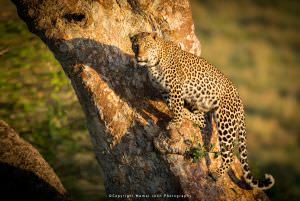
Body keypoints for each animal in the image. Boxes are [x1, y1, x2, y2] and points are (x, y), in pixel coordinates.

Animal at [130, 31, 276, 190]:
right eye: (136, 46)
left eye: (147, 46)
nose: (139, 57)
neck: (154, 63)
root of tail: (240, 102)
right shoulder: (165, 91)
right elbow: (173, 106)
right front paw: (178, 116)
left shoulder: (176, 87)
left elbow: (176, 107)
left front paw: (176, 122)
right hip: (197, 100)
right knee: (202, 120)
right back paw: (188, 113)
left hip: (226, 123)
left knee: (229, 154)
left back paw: (217, 174)